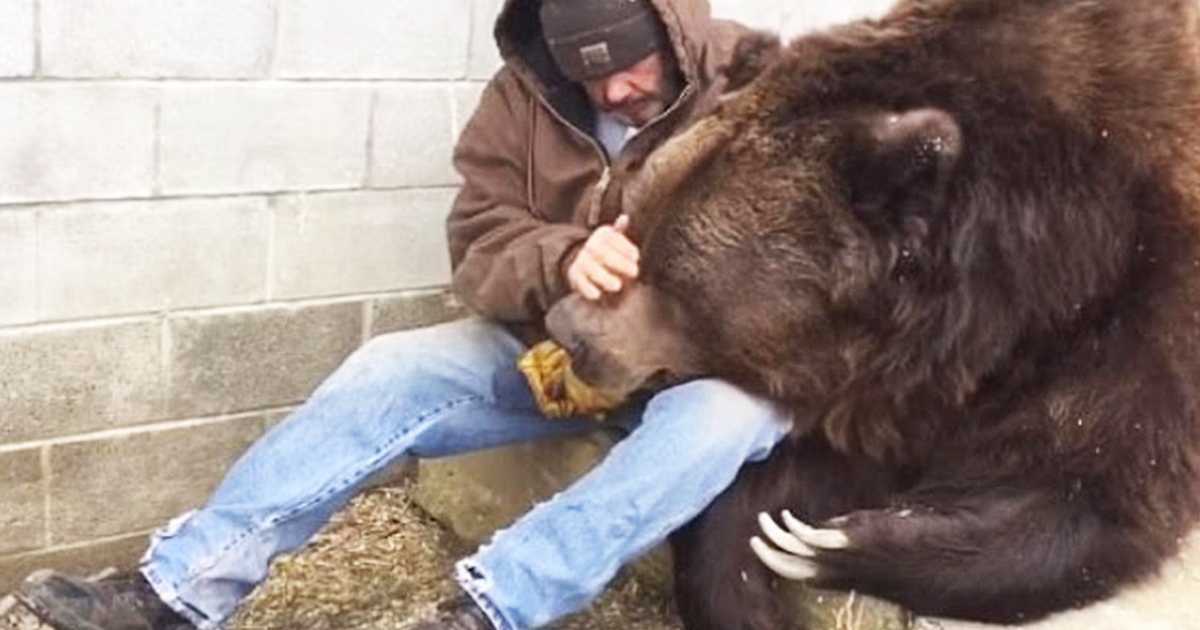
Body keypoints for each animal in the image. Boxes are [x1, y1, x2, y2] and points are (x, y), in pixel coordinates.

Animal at [540, 1, 1200, 628]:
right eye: (636, 223)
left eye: (676, 283)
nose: (567, 328)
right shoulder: (887, 369)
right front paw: (754, 567)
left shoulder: (1141, 309)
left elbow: (1088, 488)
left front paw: (827, 543)